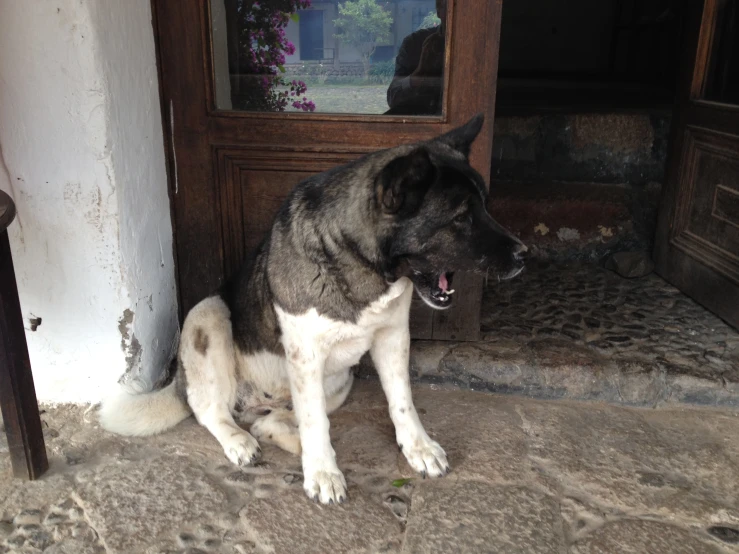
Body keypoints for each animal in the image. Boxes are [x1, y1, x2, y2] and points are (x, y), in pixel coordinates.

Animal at [99, 114, 528, 502]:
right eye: (460, 218)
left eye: (485, 207)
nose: (524, 254)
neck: (359, 261)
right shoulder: (305, 355)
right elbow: (315, 422)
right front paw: (323, 473)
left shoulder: (393, 338)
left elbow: (402, 401)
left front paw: (417, 447)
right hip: (208, 316)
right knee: (211, 411)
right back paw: (241, 440)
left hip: (339, 381)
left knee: (271, 423)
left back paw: (290, 443)